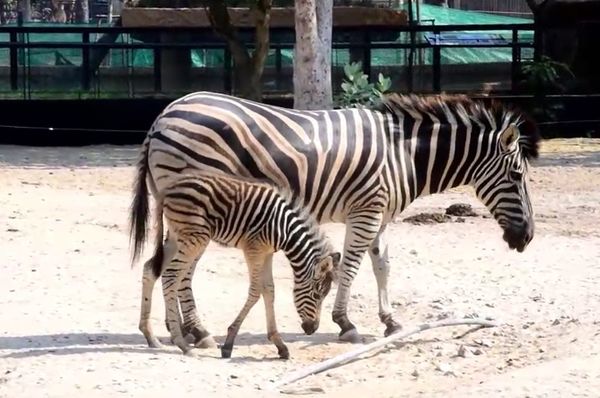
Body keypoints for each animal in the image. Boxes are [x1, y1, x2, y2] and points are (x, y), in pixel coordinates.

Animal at [133, 170, 340, 358]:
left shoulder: (267, 253)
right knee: (171, 275)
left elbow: (269, 291)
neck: (285, 230)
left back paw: (150, 336)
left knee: (150, 269)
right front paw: (228, 343)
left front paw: (279, 344)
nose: (312, 329)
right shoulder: (253, 250)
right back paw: (182, 344)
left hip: (177, 237)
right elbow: (256, 292)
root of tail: (168, 188)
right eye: (317, 295)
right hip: (195, 238)